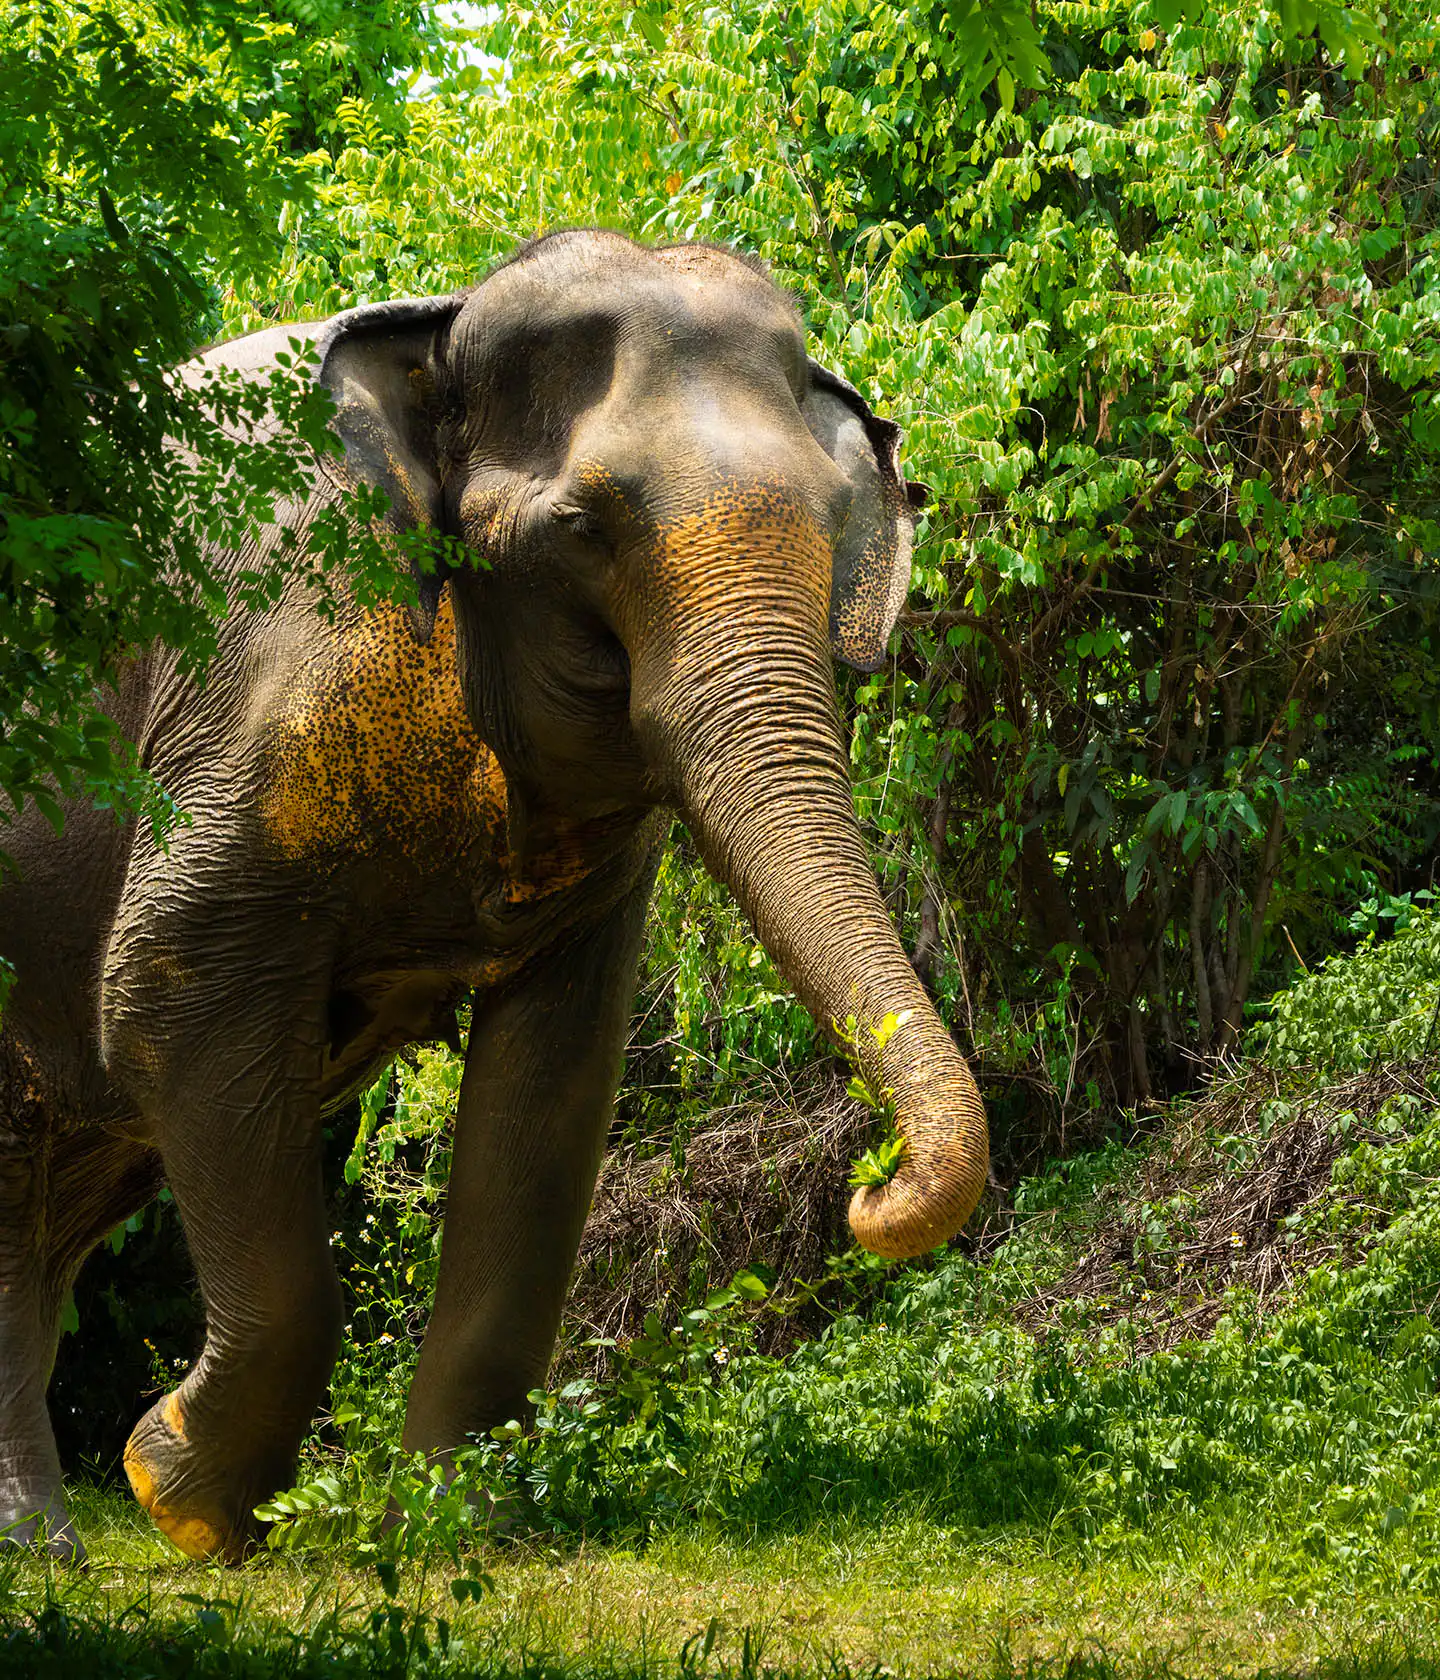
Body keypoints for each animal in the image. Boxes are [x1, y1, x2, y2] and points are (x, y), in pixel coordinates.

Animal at [0, 230, 988, 1562]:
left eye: (840, 523)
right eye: (582, 528)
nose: (867, 1190)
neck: (441, 325)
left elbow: (556, 1080)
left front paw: (448, 1532)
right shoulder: (252, 696)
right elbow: (162, 995)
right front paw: (184, 1500)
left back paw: (35, 1549)